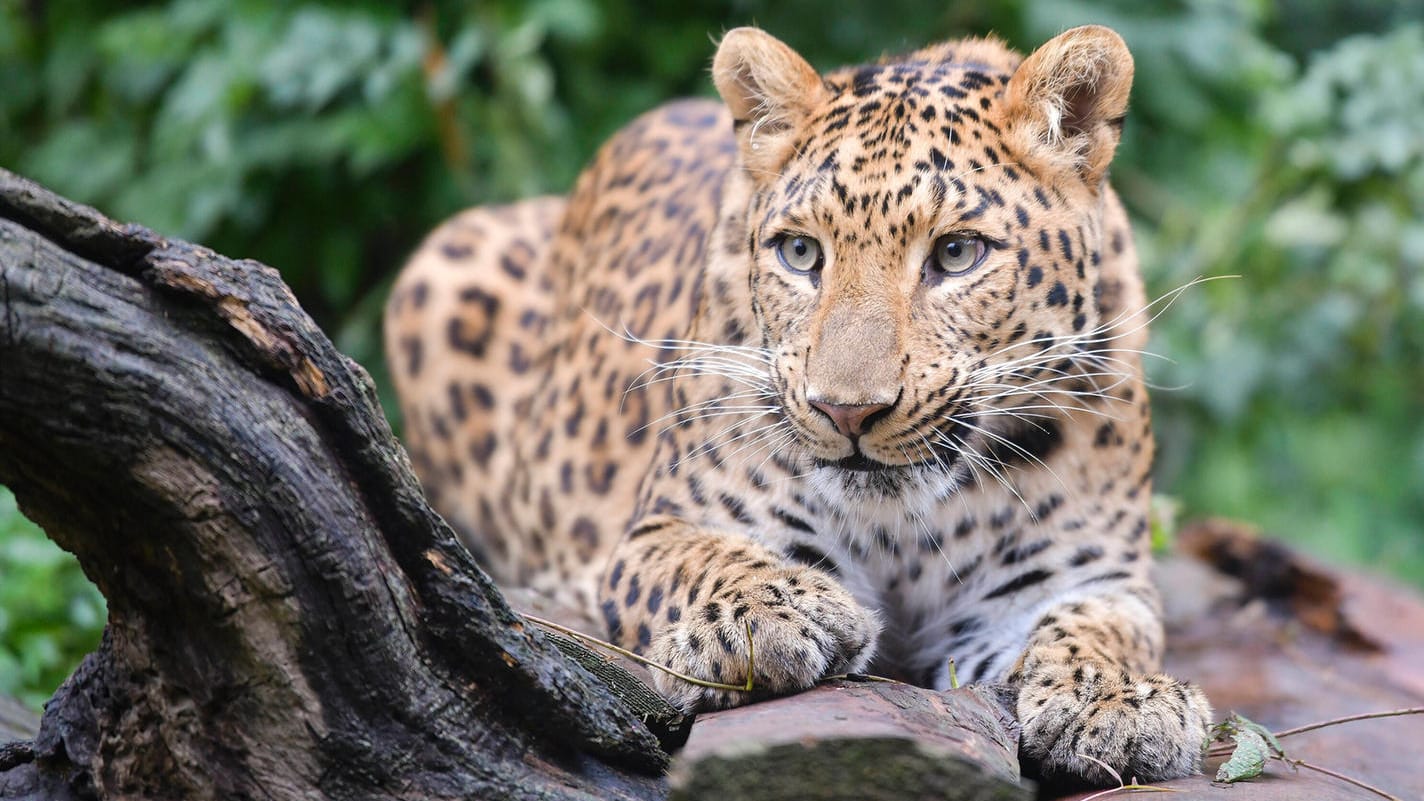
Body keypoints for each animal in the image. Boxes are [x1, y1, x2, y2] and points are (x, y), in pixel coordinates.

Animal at [387, 23, 1213, 781]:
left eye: (956, 253)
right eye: (800, 252)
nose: (847, 412)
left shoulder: (1082, 575)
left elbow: (1103, 628)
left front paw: (1119, 698)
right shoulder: (662, 526)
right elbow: (705, 555)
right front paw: (765, 613)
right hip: (441, 263)